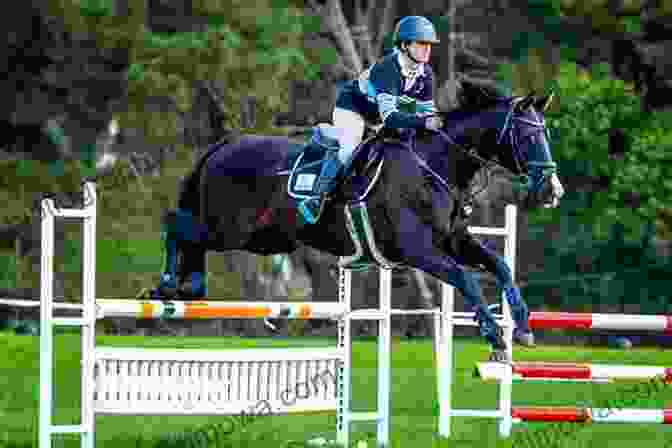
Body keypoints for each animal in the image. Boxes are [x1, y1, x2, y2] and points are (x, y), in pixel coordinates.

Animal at [150, 82, 564, 362]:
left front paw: (523, 328)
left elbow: (500, 267)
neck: (436, 167)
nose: (552, 190)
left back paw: (191, 287)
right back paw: (169, 284)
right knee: (178, 224)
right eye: (527, 135)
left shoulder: (454, 241)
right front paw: (494, 336)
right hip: (232, 229)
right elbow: (466, 278)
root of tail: (224, 145)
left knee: (192, 237)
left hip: (265, 239)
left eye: (545, 132)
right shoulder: (419, 251)